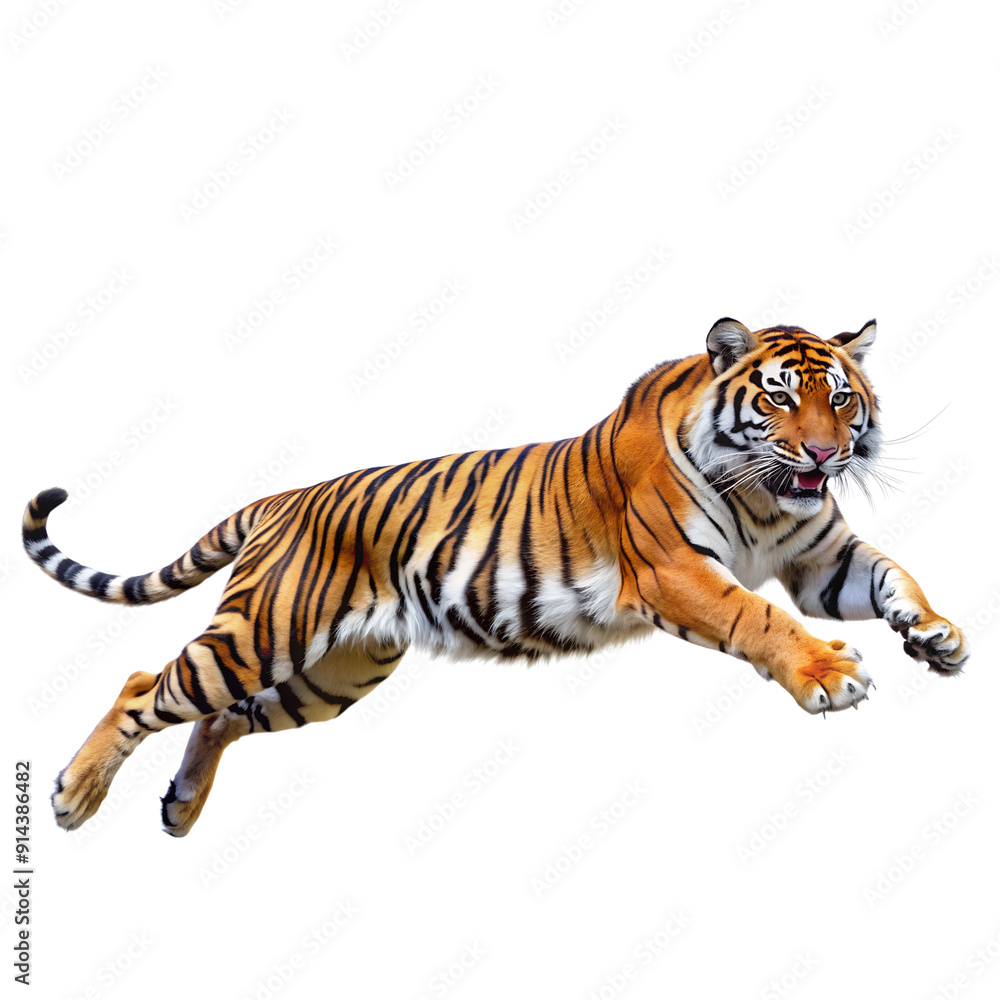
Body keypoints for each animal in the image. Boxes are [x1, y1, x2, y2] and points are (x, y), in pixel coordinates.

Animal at [22, 318, 968, 837]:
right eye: (776, 398)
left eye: (840, 398)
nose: (826, 453)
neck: (769, 499)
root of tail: (281, 498)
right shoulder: (675, 572)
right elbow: (761, 619)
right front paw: (831, 674)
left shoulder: (819, 558)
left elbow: (892, 573)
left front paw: (937, 634)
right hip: (263, 635)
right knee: (145, 682)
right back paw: (72, 796)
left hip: (330, 676)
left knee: (220, 718)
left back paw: (180, 808)